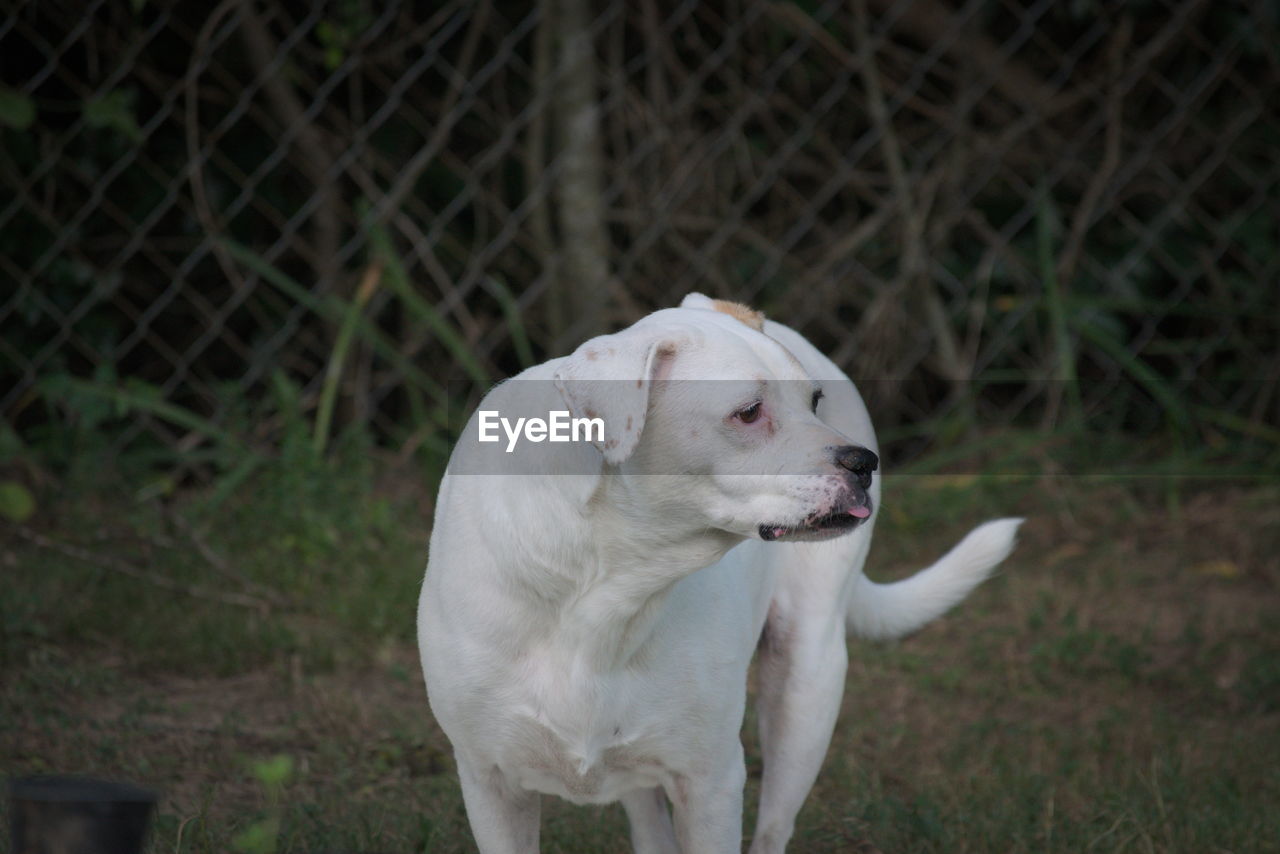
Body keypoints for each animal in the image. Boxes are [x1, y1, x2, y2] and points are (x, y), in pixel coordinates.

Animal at [419, 290, 1018, 850]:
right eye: (748, 412)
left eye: (815, 401)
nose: (864, 463)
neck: (601, 584)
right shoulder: (490, 784)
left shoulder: (710, 783)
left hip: (806, 687)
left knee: (773, 826)